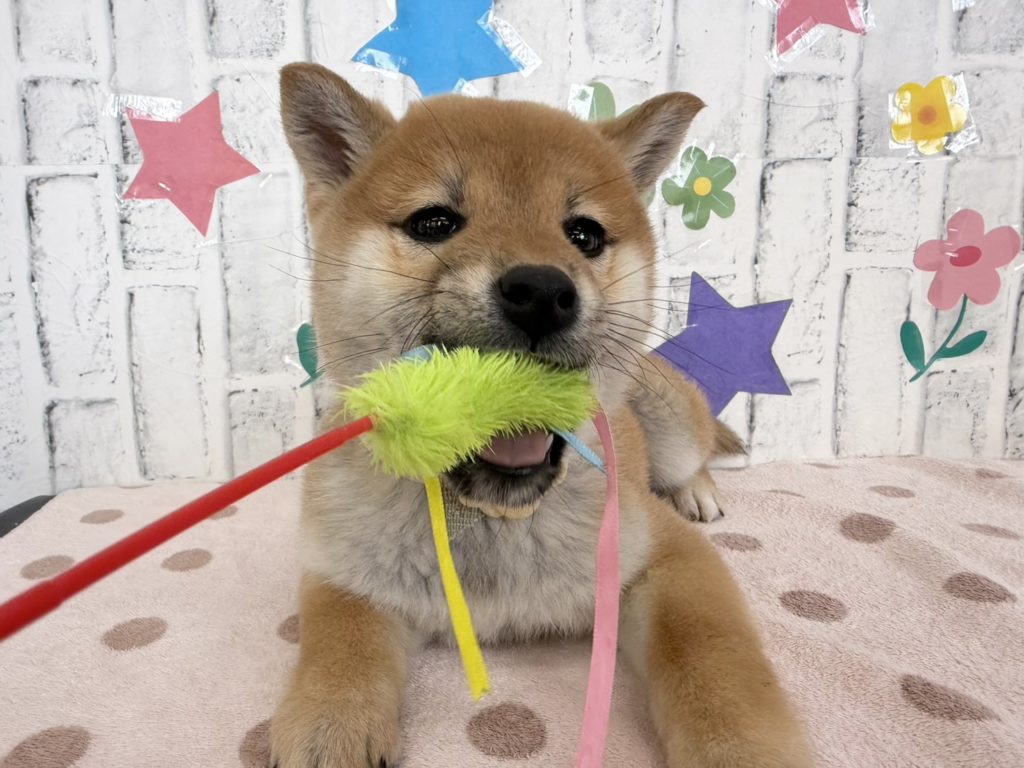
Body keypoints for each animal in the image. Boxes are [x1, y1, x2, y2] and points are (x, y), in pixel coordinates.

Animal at [270, 62, 813, 768]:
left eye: (584, 235)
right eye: (434, 223)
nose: (542, 291)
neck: (496, 517)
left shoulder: (666, 559)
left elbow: (713, 661)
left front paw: (738, 746)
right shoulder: (347, 571)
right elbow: (340, 645)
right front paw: (331, 720)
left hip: (667, 424)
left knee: (690, 460)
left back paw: (698, 491)